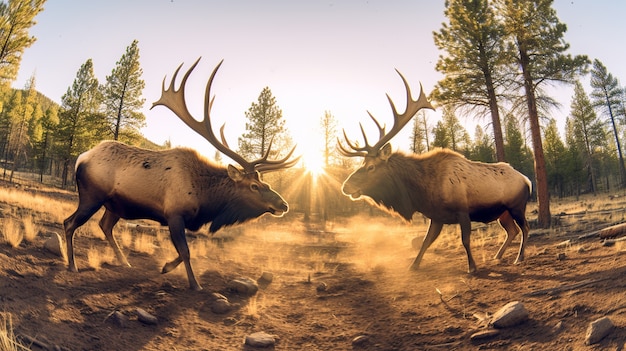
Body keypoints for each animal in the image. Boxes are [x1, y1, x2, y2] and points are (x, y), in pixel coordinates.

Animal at [63, 58, 298, 292]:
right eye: (254, 186)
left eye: (265, 183)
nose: (284, 204)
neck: (207, 200)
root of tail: (81, 157)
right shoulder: (174, 214)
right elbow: (185, 251)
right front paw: (195, 284)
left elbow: (180, 251)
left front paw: (166, 267)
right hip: (92, 196)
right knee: (70, 222)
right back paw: (72, 265)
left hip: (115, 205)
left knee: (105, 226)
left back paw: (124, 261)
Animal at [338, 70, 528, 276]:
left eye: (371, 166)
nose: (345, 186)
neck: (423, 190)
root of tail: (527, 180)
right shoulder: (436, 216)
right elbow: (425, 242)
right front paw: (413, 265)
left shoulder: (462, 211)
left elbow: (465, 240)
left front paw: (472, 267)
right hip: (503, 213)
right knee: (512, 231)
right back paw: (498, 255)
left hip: (517, 206)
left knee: (524, 228)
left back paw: (519, 258)